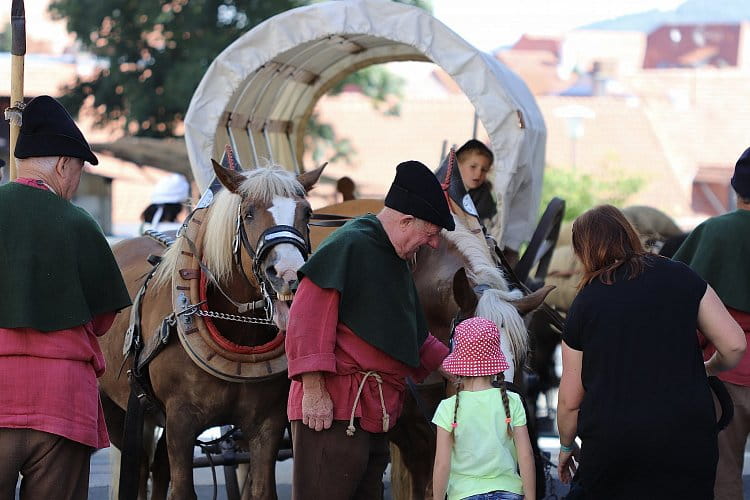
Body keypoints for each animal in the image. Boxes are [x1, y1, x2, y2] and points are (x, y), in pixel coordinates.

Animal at [97, 161, 324, 500]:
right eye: (249, 214)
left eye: (307, 212)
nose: (288, 275)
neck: (239, 332)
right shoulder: (180, 421)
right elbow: (181, 490)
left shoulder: (268, 423)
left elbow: (262, 490)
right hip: (115, 408)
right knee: (138, 470)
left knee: (157, 468)